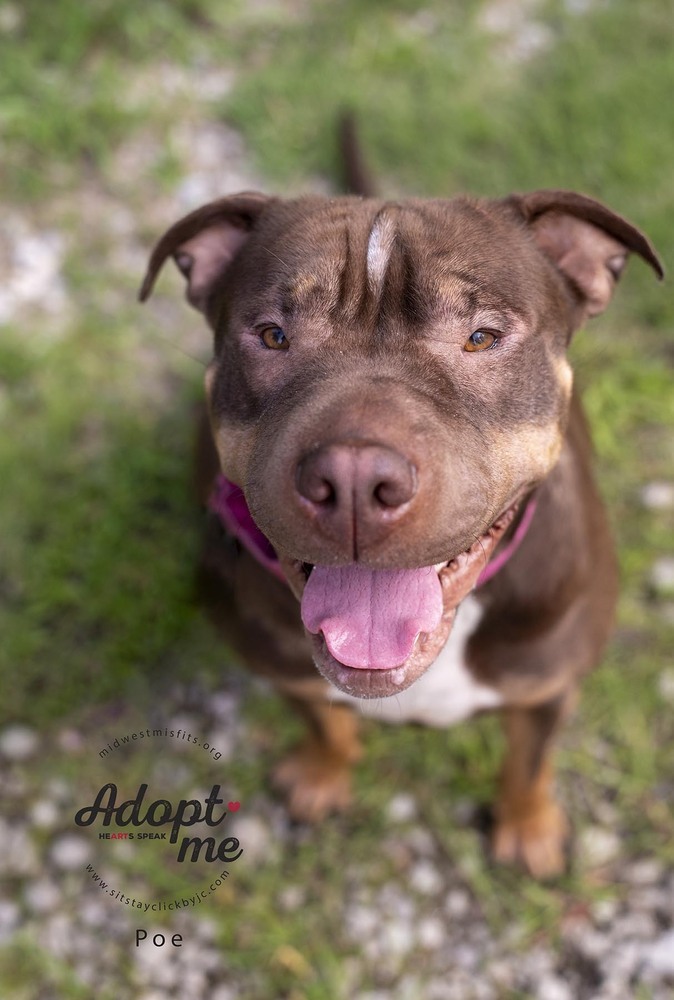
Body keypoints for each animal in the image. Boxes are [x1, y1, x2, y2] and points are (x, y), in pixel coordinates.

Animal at [139, 176, 660, 880]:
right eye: (273, 335)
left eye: (481, 337)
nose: (356, 479)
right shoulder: (281, 668)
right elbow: (321, 722)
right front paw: (322, 773)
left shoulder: (548, 688)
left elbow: (529, 764)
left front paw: (528, 827)